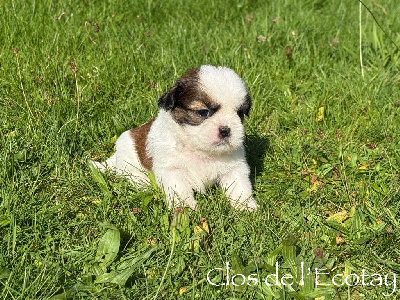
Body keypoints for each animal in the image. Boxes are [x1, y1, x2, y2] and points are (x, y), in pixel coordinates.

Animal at [92, 65, 258, 211]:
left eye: (240, 113)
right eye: (203, 112)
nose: (225, 130)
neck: (200, 151)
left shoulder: (234, 167)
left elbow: (240, 187)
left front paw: (246, 206)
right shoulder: (172, 169)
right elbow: (180, 189)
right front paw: (185, 208)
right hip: (128, 157)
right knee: (128, 174)